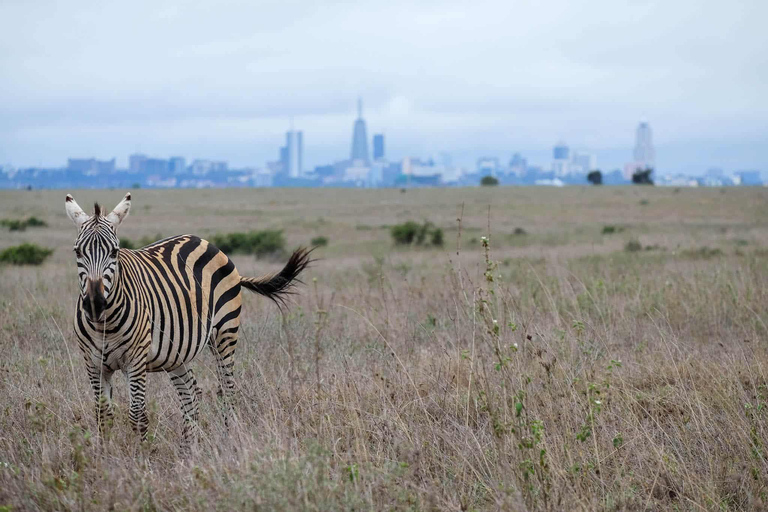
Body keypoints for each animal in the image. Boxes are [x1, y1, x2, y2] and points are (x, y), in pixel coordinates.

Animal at [63, 192, 308, 444]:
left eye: (114, 252)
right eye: (77, 252)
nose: (95, 304)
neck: (105, 325)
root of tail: (203, 241)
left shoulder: (136, 360)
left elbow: (137, 414)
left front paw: (141, 453)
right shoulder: (93, 364)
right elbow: (102, 415)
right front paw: (105, 452)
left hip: (225, 333)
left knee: (226, 389)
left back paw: (228, 439)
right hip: (177, 351)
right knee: (191, 392)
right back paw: (189, 446)